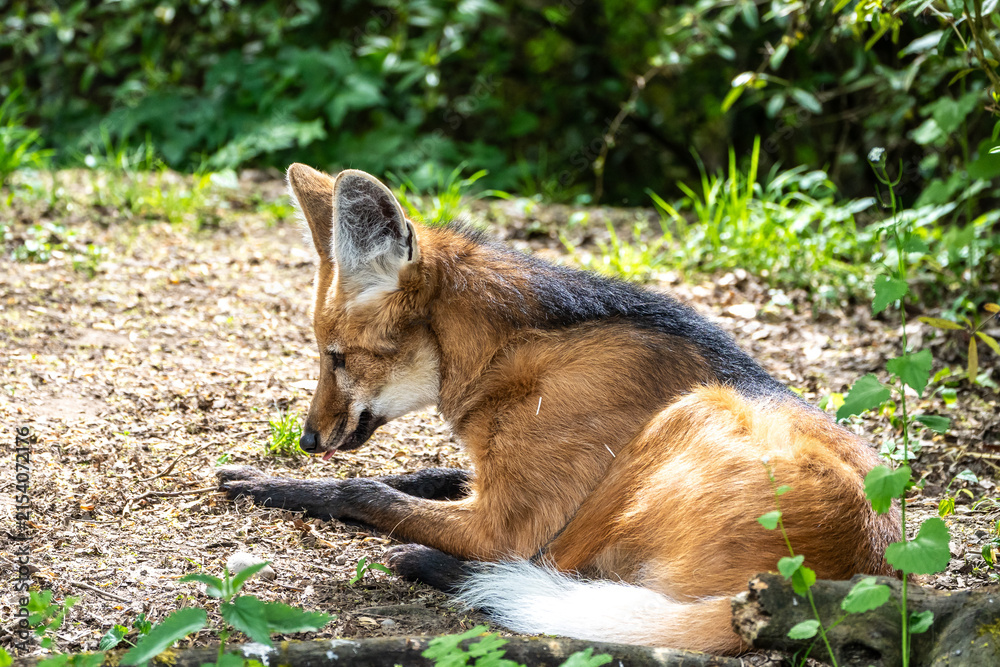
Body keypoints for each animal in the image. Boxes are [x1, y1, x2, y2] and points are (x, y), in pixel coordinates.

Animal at [218, 165, 899, 654]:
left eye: (335, 357)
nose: (308, 440)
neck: (503, 355)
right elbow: (421, 474)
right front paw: (259, 479)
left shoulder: (503, 524)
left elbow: (365, 492)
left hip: (689, 414)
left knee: (548, 570)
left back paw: (433, 565)